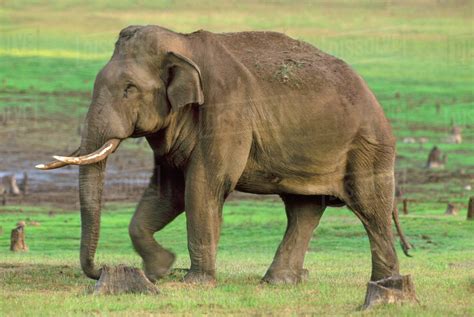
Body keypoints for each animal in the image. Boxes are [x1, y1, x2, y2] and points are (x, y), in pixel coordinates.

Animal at [38, 25, 414, 304]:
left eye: (129, 89)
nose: (100, 269)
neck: (182, 43)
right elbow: (168, 191)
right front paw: (160, 268)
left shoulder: (227, 111)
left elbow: (202, 186)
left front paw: (193, 282)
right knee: (303, 209)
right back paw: (277, 282)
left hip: (368, 146)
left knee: (370, 208)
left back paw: (385, 284)